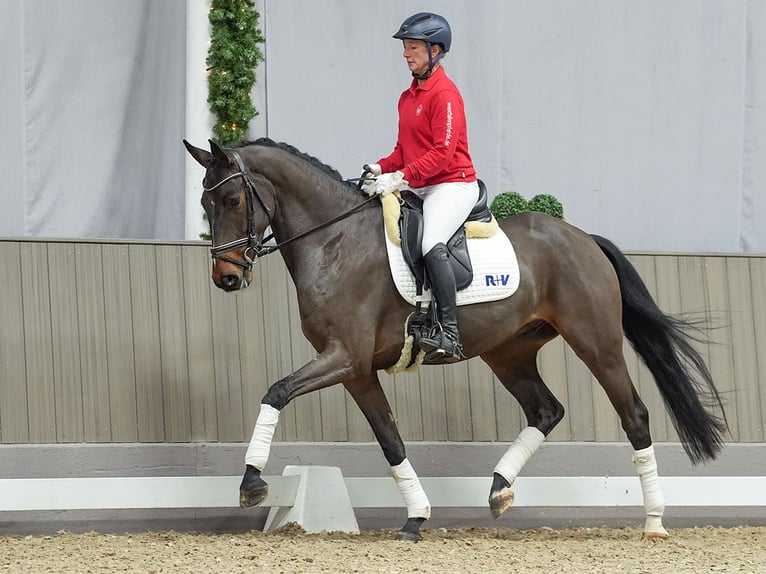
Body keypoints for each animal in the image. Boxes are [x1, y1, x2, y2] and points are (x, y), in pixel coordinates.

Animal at [183, 137, 728, 544]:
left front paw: (252, 483)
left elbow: (275, 391)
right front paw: (416, 517)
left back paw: (654, 521)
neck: (334, 243)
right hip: (508, 351)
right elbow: (390, 440)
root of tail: (582, 238)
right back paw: (499, 490)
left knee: (633, 414)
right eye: (205, 202)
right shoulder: (357, 371)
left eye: (232, 200)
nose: (226, 278)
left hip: (596, 341)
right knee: (546, 410)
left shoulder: (343, 357)